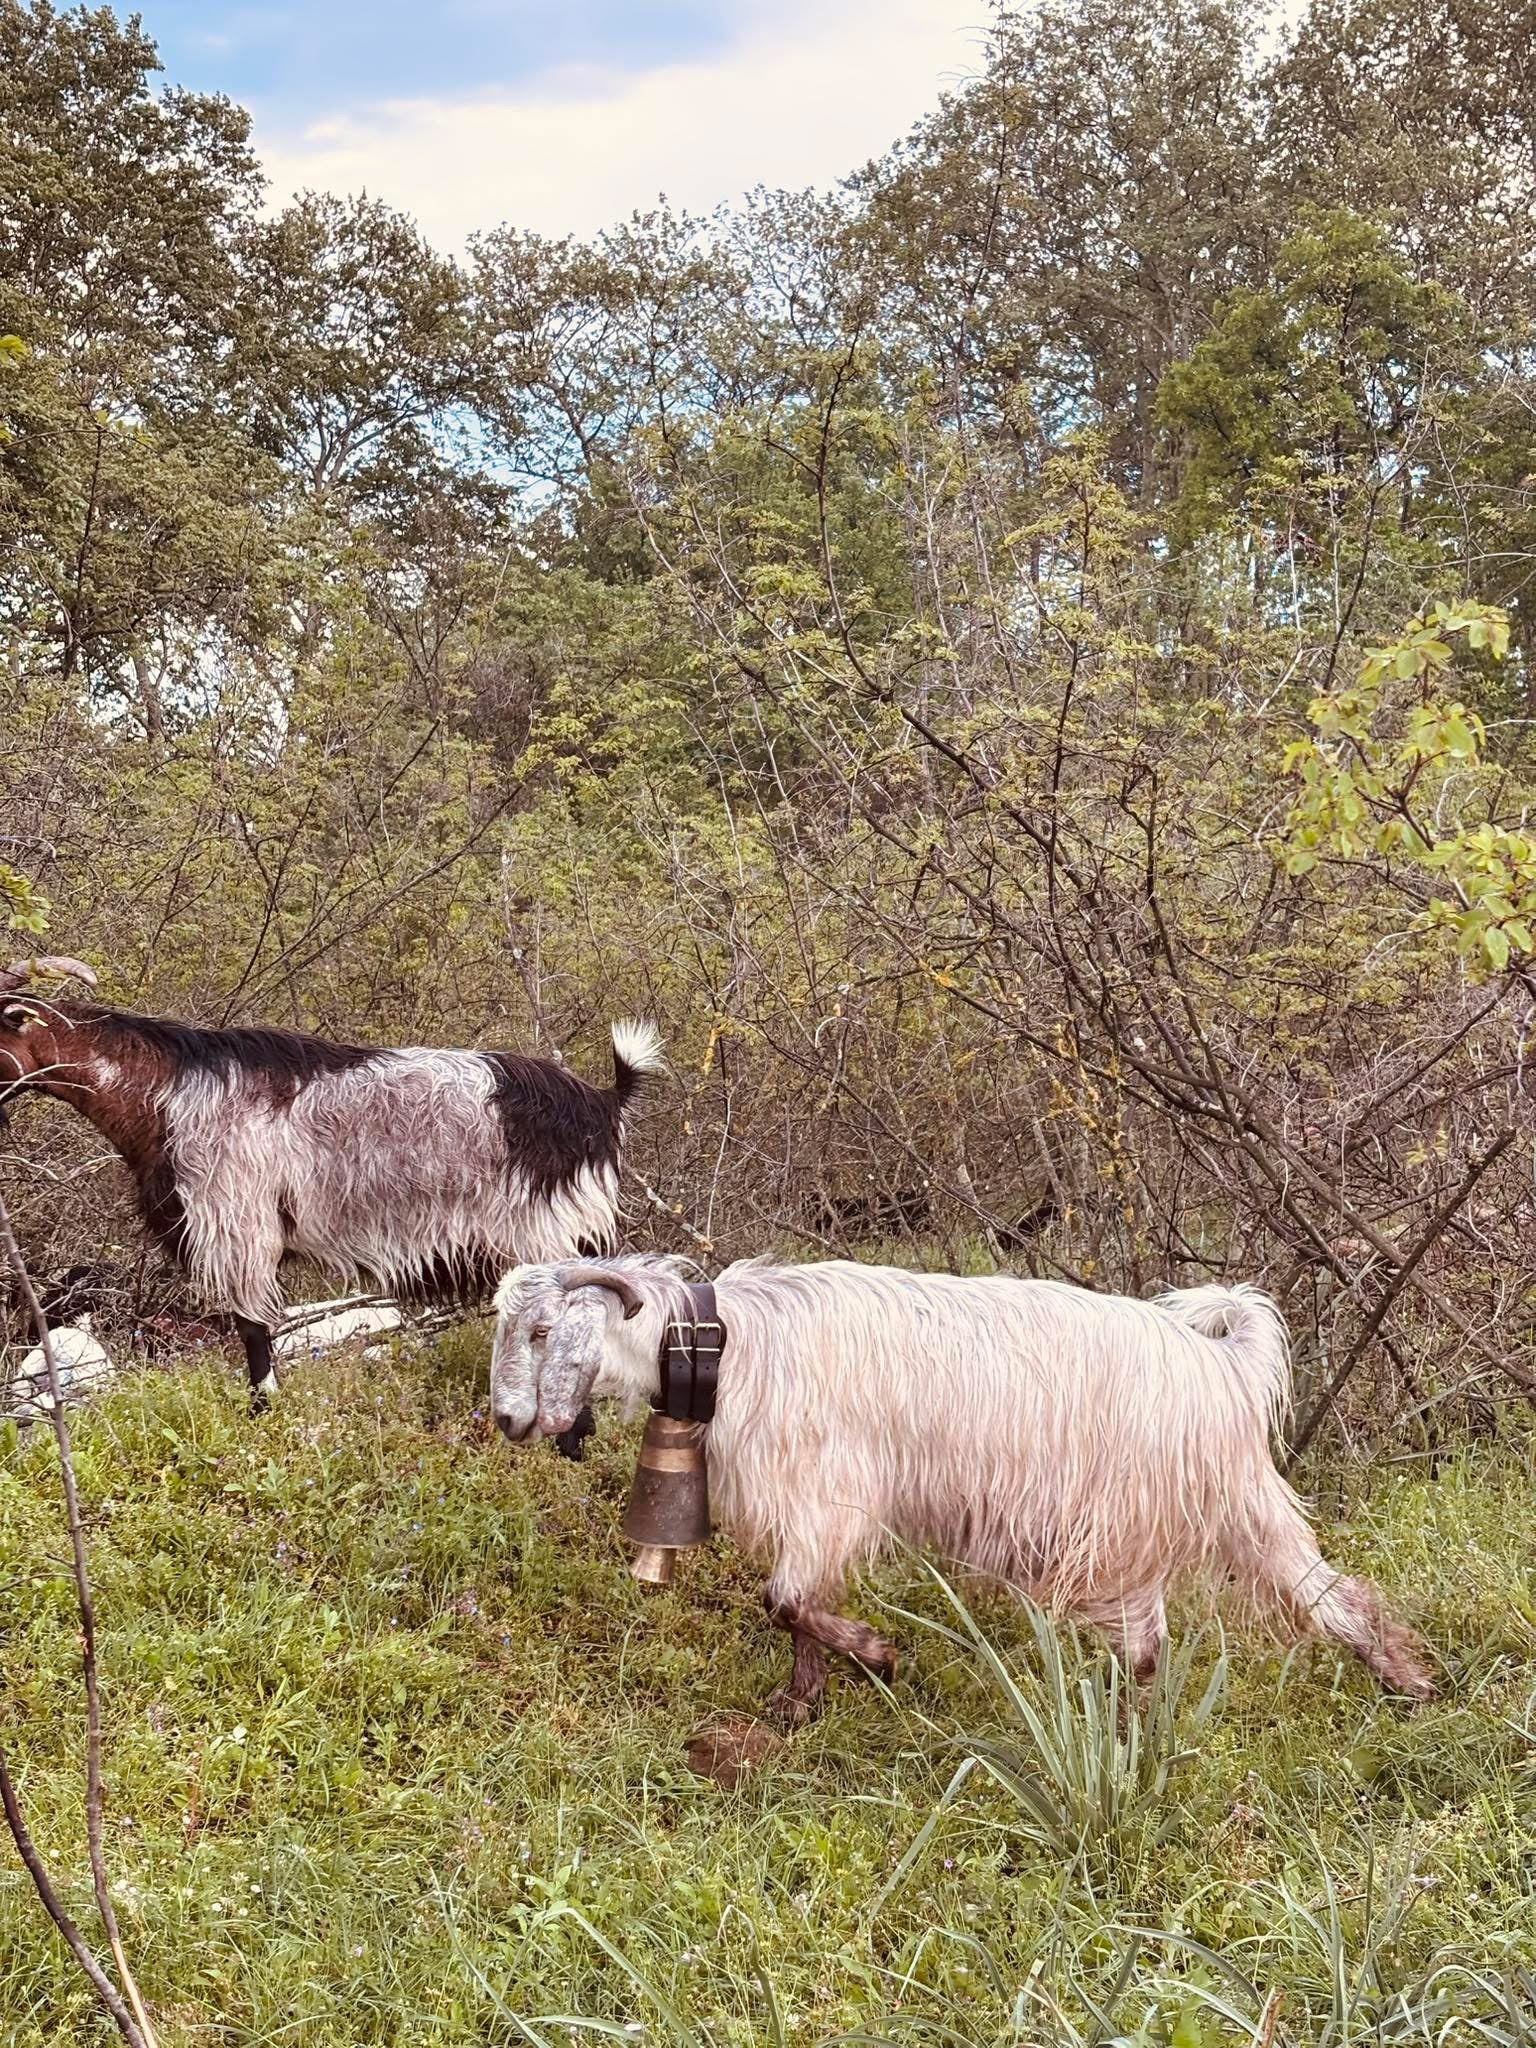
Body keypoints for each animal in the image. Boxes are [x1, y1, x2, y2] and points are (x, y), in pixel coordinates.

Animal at [0, 954, 663, 1444]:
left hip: (553, 1239)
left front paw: (262, 1413)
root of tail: (604, 1104)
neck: (167, 1090)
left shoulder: (241, 1227)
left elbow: (252, 1332)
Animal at [490, 1254, 1435, 1720]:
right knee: (1320, 1596)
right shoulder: (810, 1511)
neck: (731, 1339)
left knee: (1157, 1645)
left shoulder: (827, 1494)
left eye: (541, 1330)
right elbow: (798, 1605)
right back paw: (1406, 1680)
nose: (505, 1420)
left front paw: (877, 1657)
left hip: (1138, 1524)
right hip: (1223, 1515)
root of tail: (1222, 1362)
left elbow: (789, 1600)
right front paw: (800, 1703)